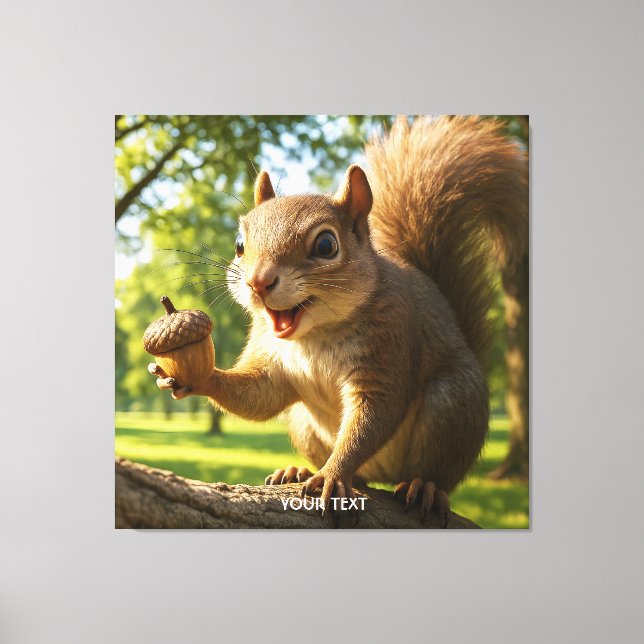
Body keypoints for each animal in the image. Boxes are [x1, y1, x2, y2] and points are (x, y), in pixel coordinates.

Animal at [149, 115, 528, 525]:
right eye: (239, 244)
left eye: (326, 245)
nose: (257, 282)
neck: (314, 336)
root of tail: (384, 475)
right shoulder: (269, 354)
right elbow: (259, 395)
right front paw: (198, 376)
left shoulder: (390, 344)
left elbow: (372, 416)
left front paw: (332, 474)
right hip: (303, 423)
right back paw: (298, 470)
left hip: (453, 405)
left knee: (439, 472)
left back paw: (422, 487)